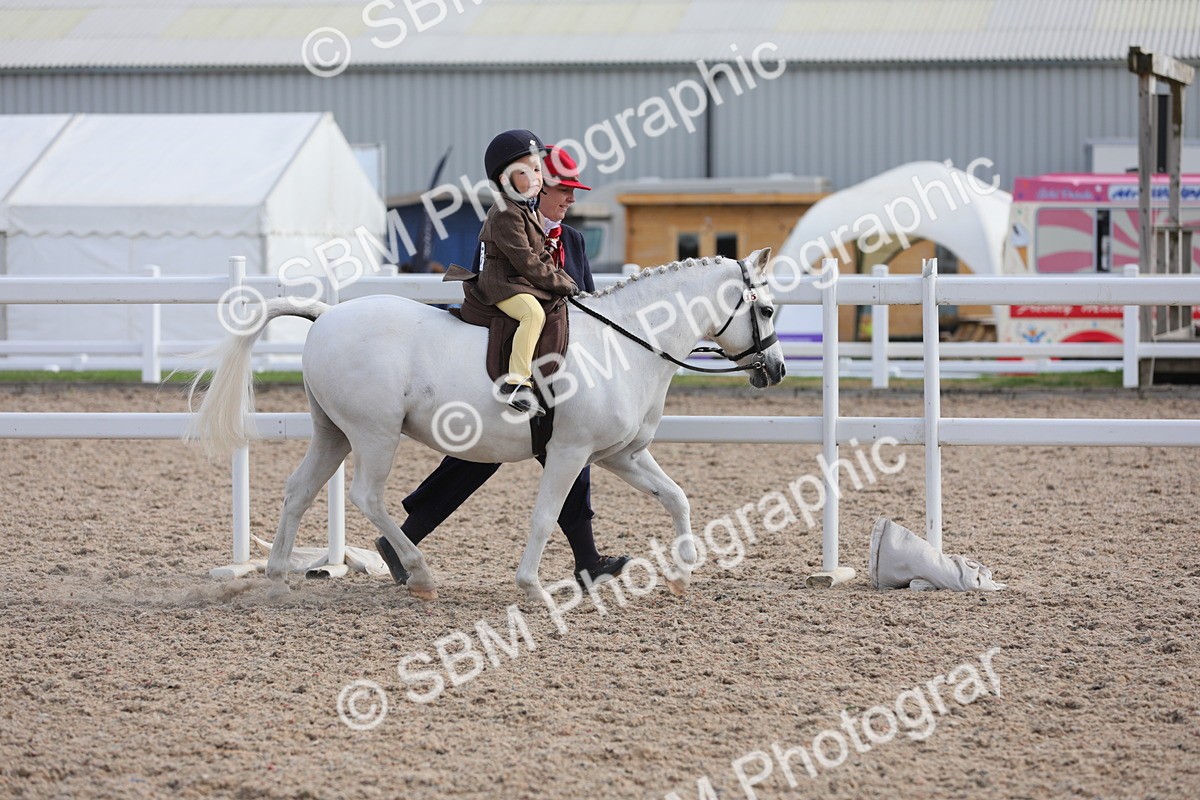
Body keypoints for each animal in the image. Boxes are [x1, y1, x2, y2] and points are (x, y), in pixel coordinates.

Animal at [188, 248, 786, 605]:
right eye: (769, 310)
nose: (776, 370)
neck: (626, 342)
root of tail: (326, 315)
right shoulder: (569, 452)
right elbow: (546, 517)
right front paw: (534, 587)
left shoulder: (619, 454)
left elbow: (676, 496)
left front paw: (682, 572)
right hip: (374, 435)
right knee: (366, 497)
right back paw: (419, 574)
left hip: (332, 433)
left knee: (298, 491)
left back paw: (276, 580)